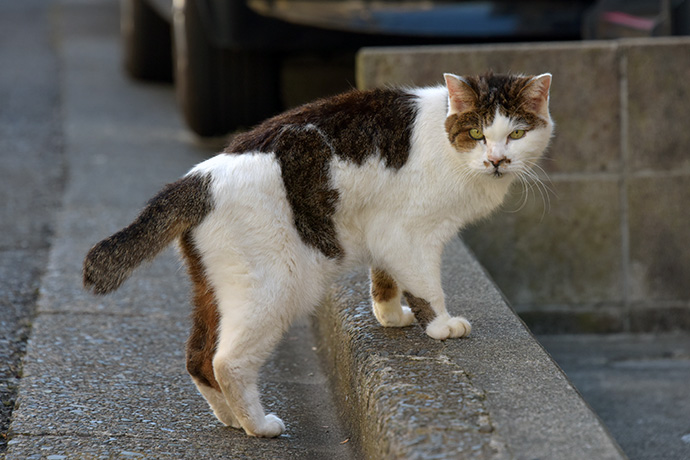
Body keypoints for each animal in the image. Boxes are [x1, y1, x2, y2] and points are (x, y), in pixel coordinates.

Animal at [82, 73, 552, 438]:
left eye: (516, 134)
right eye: (476, 134)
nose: (497, 160)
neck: (446, 138)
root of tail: (195, 181)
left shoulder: (384, 230)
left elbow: (385, 276)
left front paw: (390, 316)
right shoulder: (413, 233)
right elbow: (425, 285)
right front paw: (439, 326)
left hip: (214, 288)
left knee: (198, 358)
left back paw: (231, 419)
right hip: (276, 286)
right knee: (228, 361)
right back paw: (259, 426)